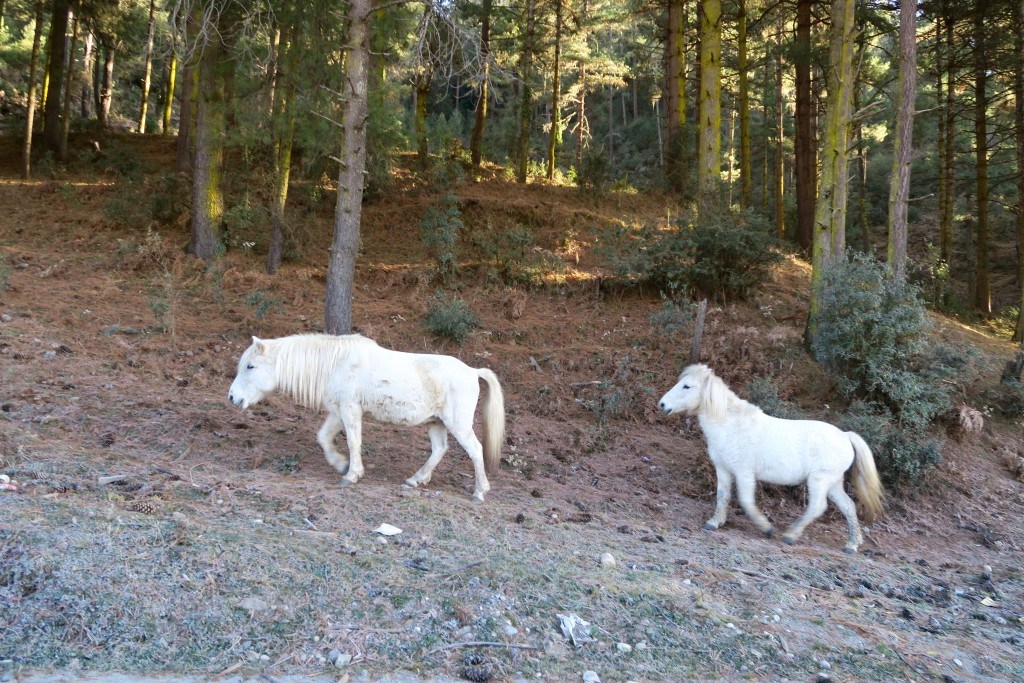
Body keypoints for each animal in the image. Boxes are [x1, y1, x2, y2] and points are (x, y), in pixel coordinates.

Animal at [229, 335, 507, 501]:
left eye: (250, 366)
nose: (232, 397)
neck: (337, 363)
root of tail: (472, 371)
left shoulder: (350, 410)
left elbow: (353, 442)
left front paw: (351, 475)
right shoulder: (338, 411)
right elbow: (324, 437)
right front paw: (340, 464)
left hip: (458, 425)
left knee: (475, 450)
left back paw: (479, 491)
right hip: (435, 423)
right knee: (439, 449)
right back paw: (415, 479)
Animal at [659, 366, 884, 552]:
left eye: (687, 386)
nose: (662, 404)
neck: (731, 426)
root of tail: (845, 436)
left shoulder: (744, 473)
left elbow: (746, 500)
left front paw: (766, 528)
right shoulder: (723, 469)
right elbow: (722, 496)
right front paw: (714, 523)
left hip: (819, 481)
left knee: (818, 507)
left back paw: (791, 535)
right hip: (833, 483)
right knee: (848, 506)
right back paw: (852, 544)